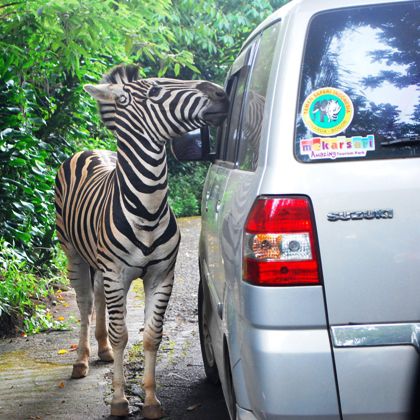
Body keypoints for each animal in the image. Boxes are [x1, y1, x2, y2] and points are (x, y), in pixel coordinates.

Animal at [55, 64, 230, 418]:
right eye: (154, 92)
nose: (221, 93)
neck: (147, 208)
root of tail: (90, 150)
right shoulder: (117, 274)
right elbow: (122, 335)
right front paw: (119, 400)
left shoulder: (161, 275)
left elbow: (152, 336)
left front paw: (150, 400)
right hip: (73, 252)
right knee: (85, 303)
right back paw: (81, 360)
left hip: (100, 264)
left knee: (97, 297)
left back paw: (102, 349)